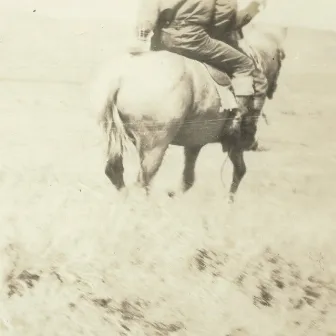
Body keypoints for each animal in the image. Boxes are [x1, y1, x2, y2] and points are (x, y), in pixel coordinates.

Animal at [90, 23, 288, 203]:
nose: (273, 88)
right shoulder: (234, 142)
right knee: (143, 182)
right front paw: (229, 203)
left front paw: (173, 195)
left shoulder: (194, 143)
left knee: (115, 170)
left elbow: (188, 178)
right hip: (155, 146)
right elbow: (239, 170)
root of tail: (120, 78)